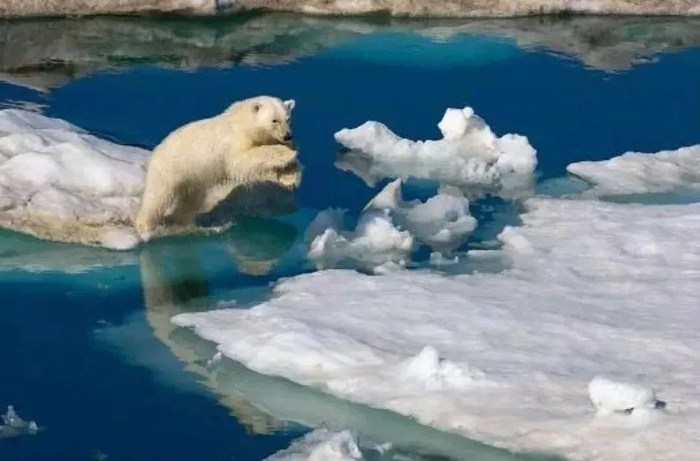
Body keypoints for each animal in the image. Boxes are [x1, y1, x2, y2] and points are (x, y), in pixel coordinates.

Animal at [134, 96, 300, 240]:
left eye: (288, 119)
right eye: (274, 120)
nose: (287, 136)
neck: (242, 121)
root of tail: (156, 150)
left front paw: (290, 176)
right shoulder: (233, 142)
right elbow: (242, 162)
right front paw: (286, 152)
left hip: (194, 179)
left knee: (190, 201)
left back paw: (185, 223)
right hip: (170, 168)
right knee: (158, 197)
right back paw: (145, 227)